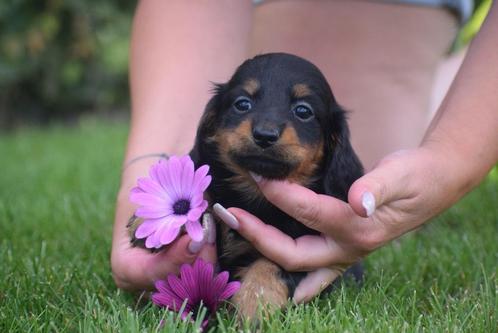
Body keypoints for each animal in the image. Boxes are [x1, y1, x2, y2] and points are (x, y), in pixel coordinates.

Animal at [193, 53, 364, 318]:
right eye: (242, 104)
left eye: (303, 111)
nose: (264, 135)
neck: (257, 199)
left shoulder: (301, 252)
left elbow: (269, 264)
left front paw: (254, 304)